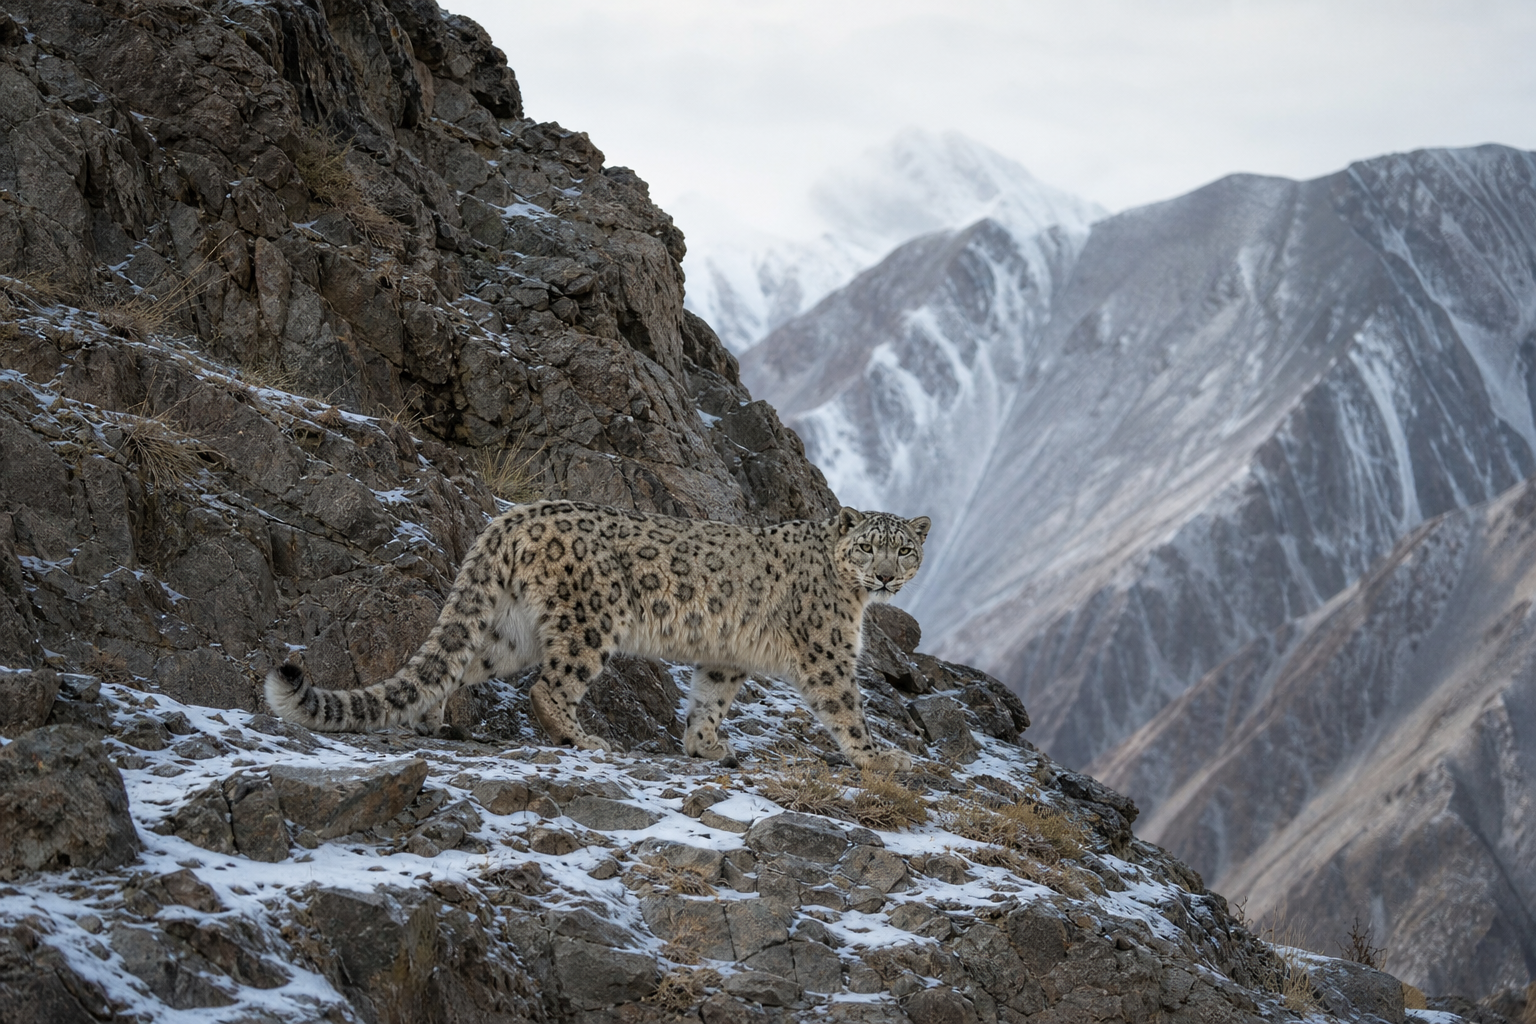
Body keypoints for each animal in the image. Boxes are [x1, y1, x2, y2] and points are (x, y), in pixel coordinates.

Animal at [265, 499, 931, 770]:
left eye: (904, 549)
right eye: (867, 546)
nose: (886, 575)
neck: (855, 598)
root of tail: (512, 517)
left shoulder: (723, 656)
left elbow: (709, 699)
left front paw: (705, 746)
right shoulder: (827, 652)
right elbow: (846, 707)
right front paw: (881, 757)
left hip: (511, 631)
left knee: (458, 663)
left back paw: (429, 720)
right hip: (589, 619)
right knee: (550, 685)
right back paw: (582, 737)